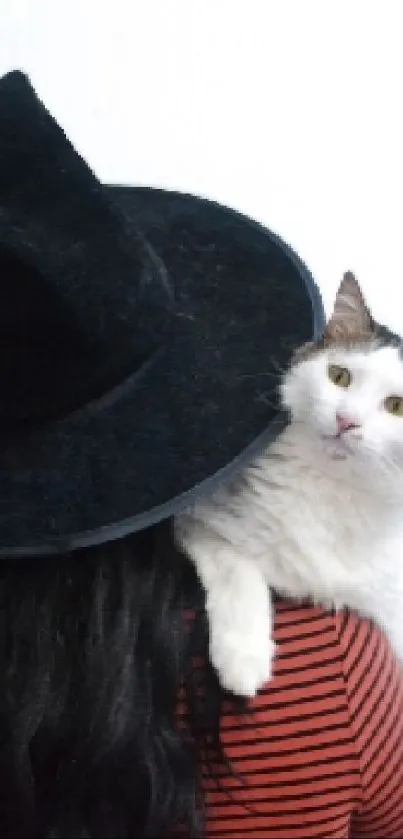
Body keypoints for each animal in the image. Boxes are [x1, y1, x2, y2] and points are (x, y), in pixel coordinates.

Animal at [177, 274, 403, 696]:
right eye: (339, 376)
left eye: (396, 406)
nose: (346, 420)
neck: (330, 490)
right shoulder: (202, 520)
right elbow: (238, 574)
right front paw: (243, 658)